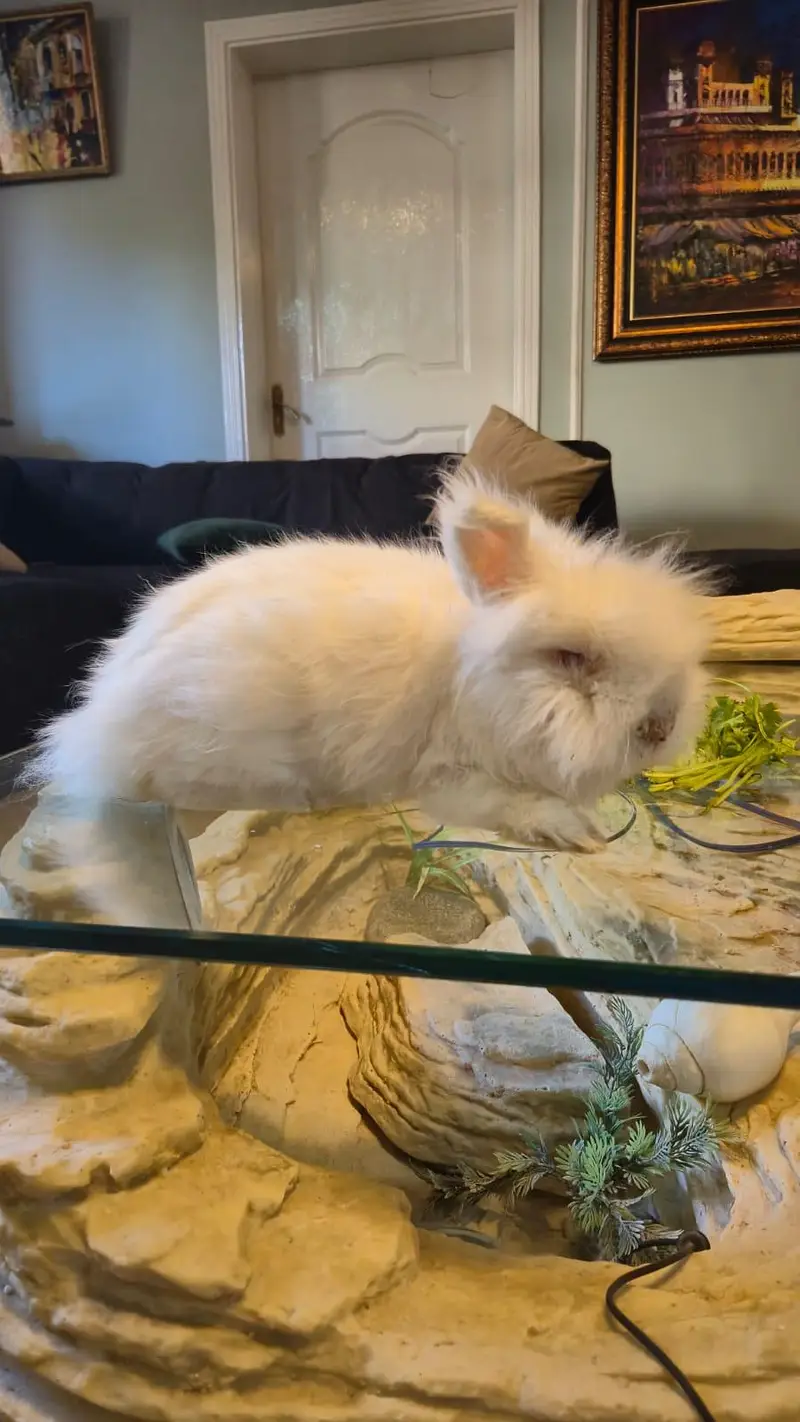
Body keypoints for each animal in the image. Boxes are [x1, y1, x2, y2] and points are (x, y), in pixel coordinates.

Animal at [28, 463, 710, 854]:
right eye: (571, 657)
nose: (661, 727)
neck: (467, 679)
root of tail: (93, 718)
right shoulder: (447, 777)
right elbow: (506, 804)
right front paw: (575, 830)